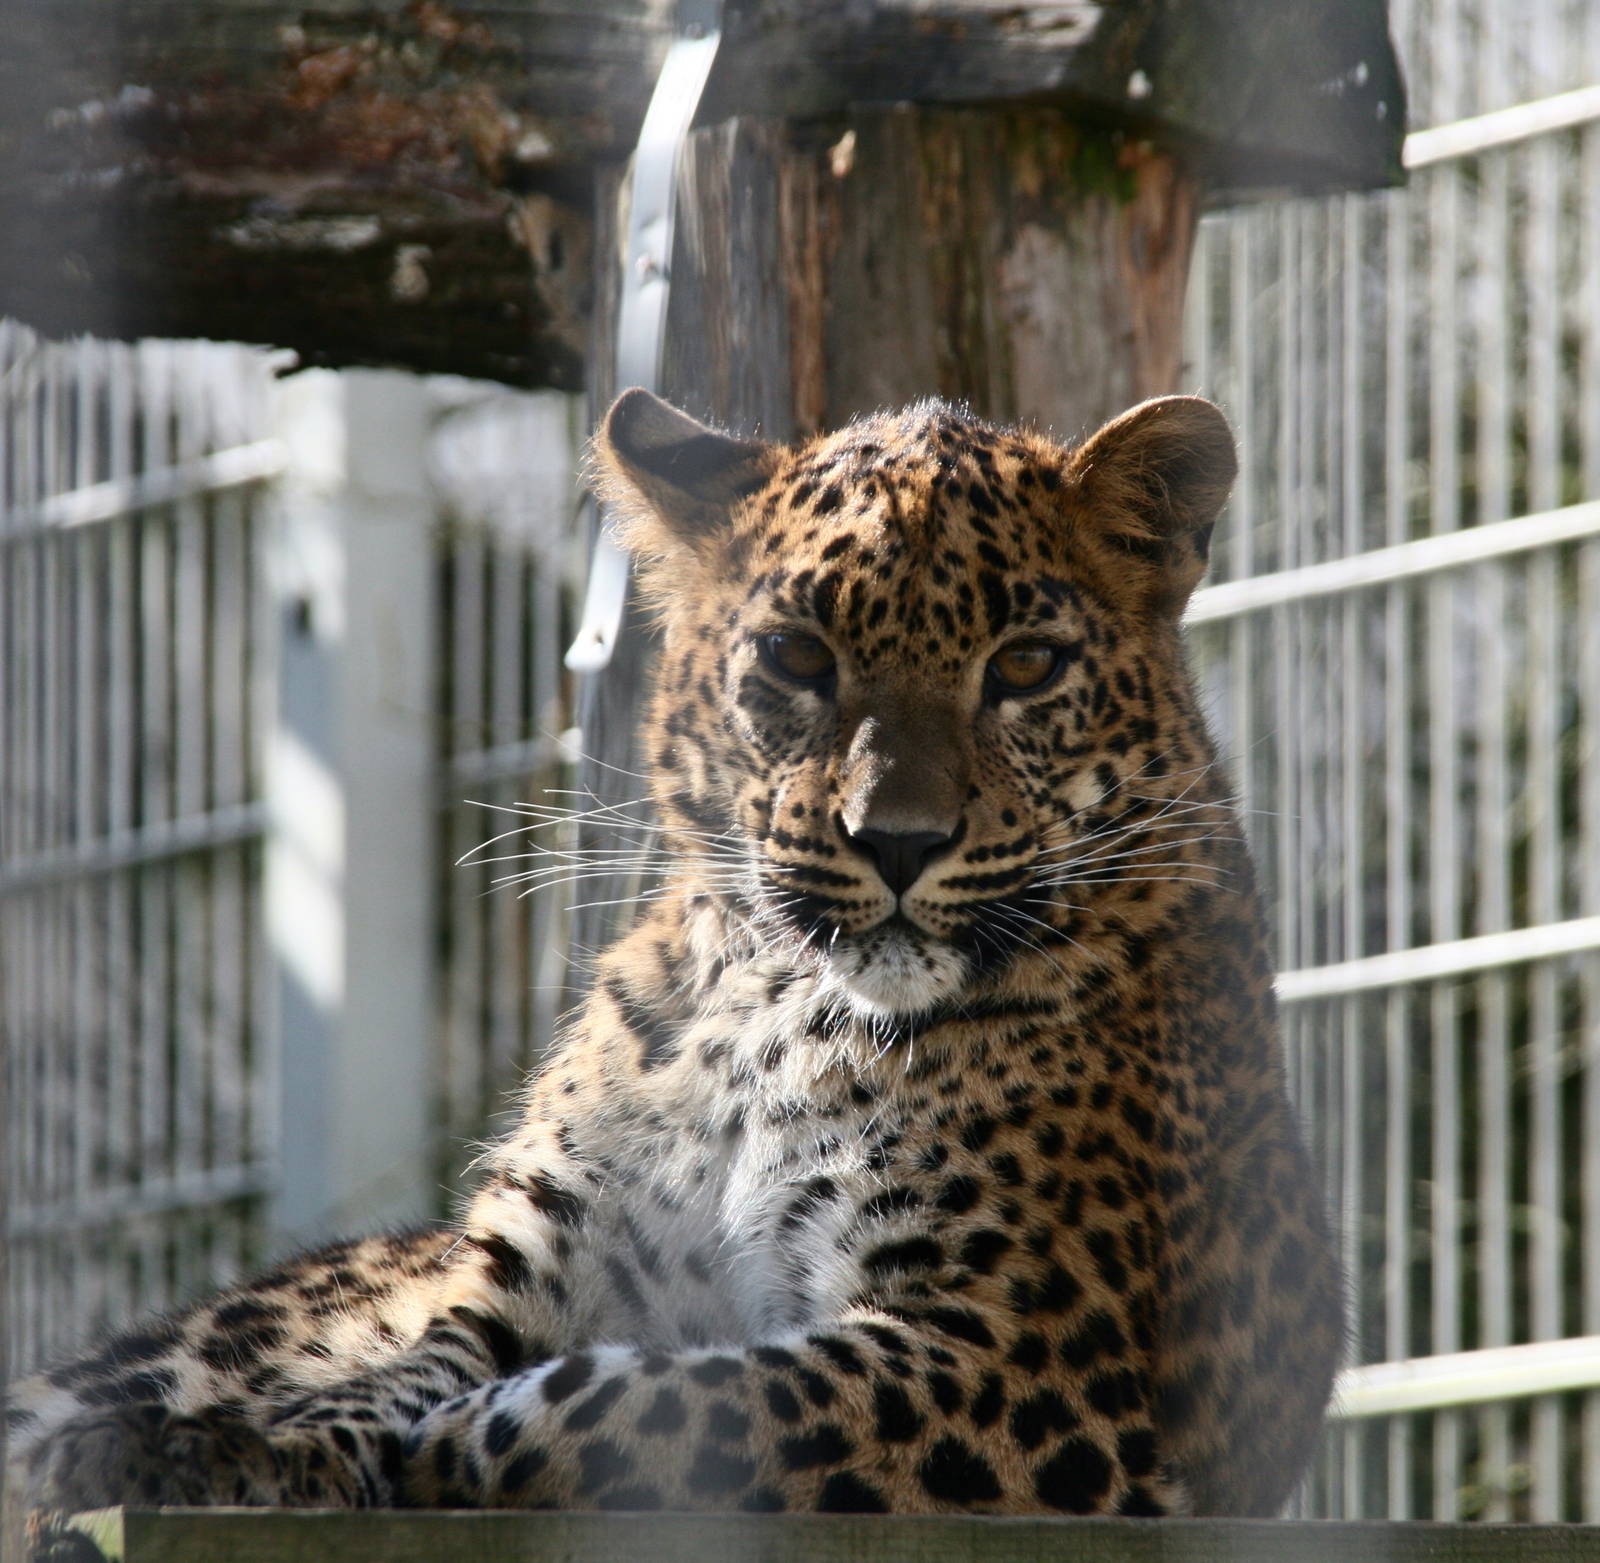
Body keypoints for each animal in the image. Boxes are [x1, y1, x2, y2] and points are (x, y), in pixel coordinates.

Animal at [8, 388, 1341, 1525]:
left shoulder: (1029, 1360)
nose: (898, 841)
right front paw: (229, 1447)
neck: (778, 1006)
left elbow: (649, 1403)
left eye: (1023, 666)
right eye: (797, 658)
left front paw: (412, 1449)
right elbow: (411, 1364)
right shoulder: (533, 1270)